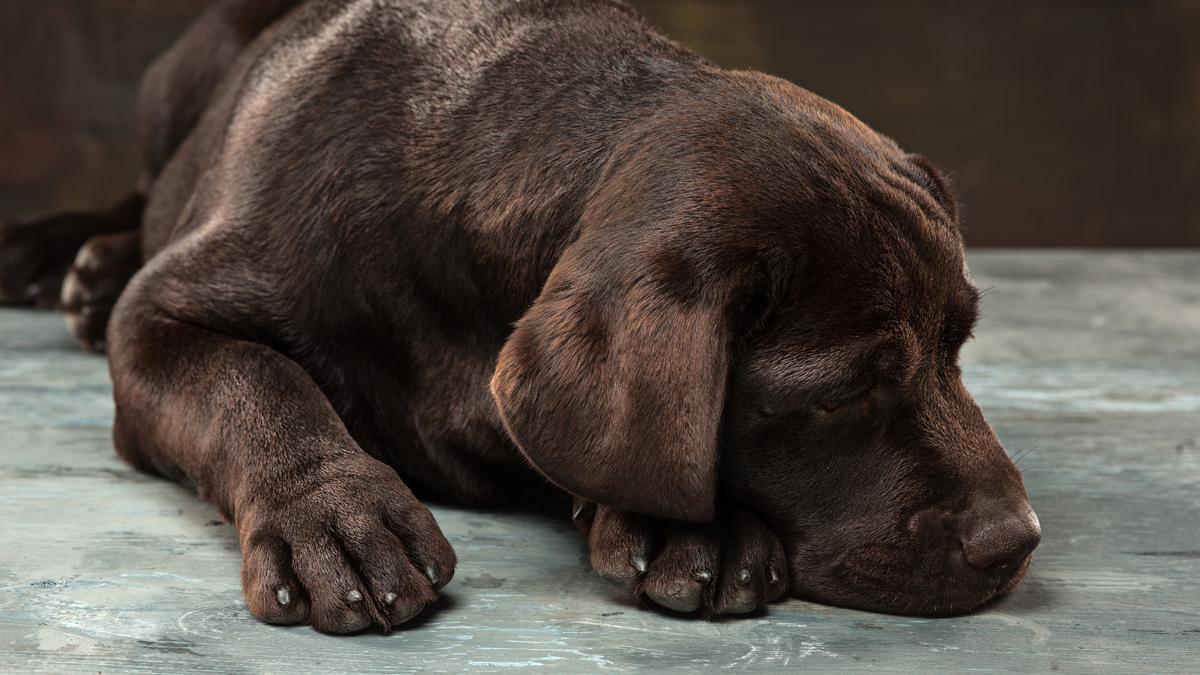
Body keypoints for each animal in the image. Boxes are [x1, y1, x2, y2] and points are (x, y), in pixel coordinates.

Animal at [0, 0, 1041, 629]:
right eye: (838, 393)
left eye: (958, 346)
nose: (1019, 538)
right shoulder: (167, 315)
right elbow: (255, 379)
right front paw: (331, 511)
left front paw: (690, 526)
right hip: (176, 89)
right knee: (143, 191)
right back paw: (73, 260)